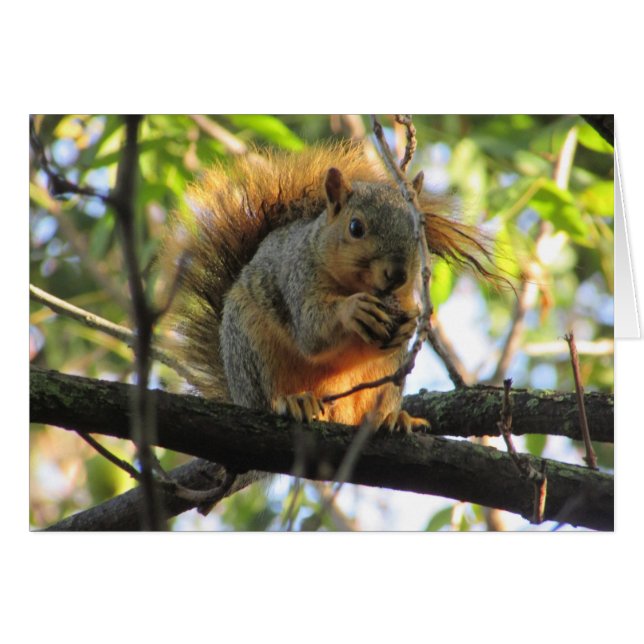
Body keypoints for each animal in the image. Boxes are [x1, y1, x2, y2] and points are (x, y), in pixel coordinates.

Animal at [160, 142, 494, 435]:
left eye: (417, 231)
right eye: (356, 228)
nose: (398, 274)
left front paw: (409, 324)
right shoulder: (299, 277)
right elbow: (312, 330)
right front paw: (352, 311)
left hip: (387, 378)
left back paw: (393, 418)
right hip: (251, 348)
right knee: (267, 396)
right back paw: (294, 402)